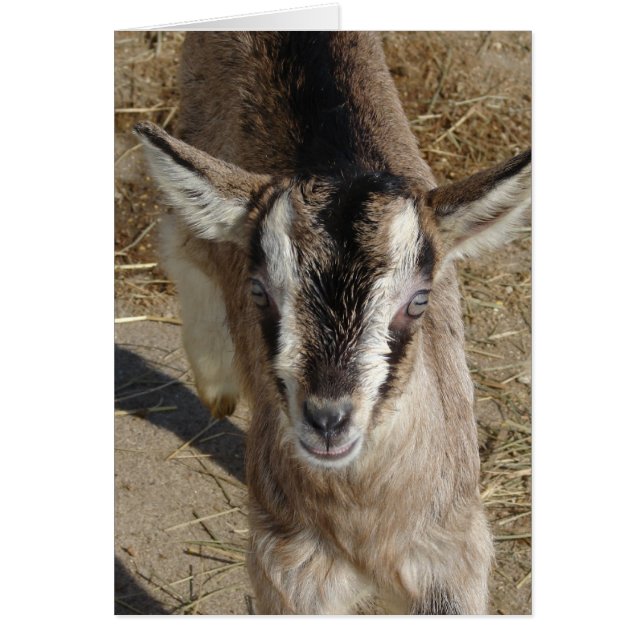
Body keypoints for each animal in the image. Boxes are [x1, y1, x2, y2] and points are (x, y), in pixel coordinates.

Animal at [134, 32, 531, 615]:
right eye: (259, 291)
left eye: (419, 301)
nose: (328, 419)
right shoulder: (289, 562)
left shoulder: (451, 553)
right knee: (183, 242)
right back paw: (217, 385)